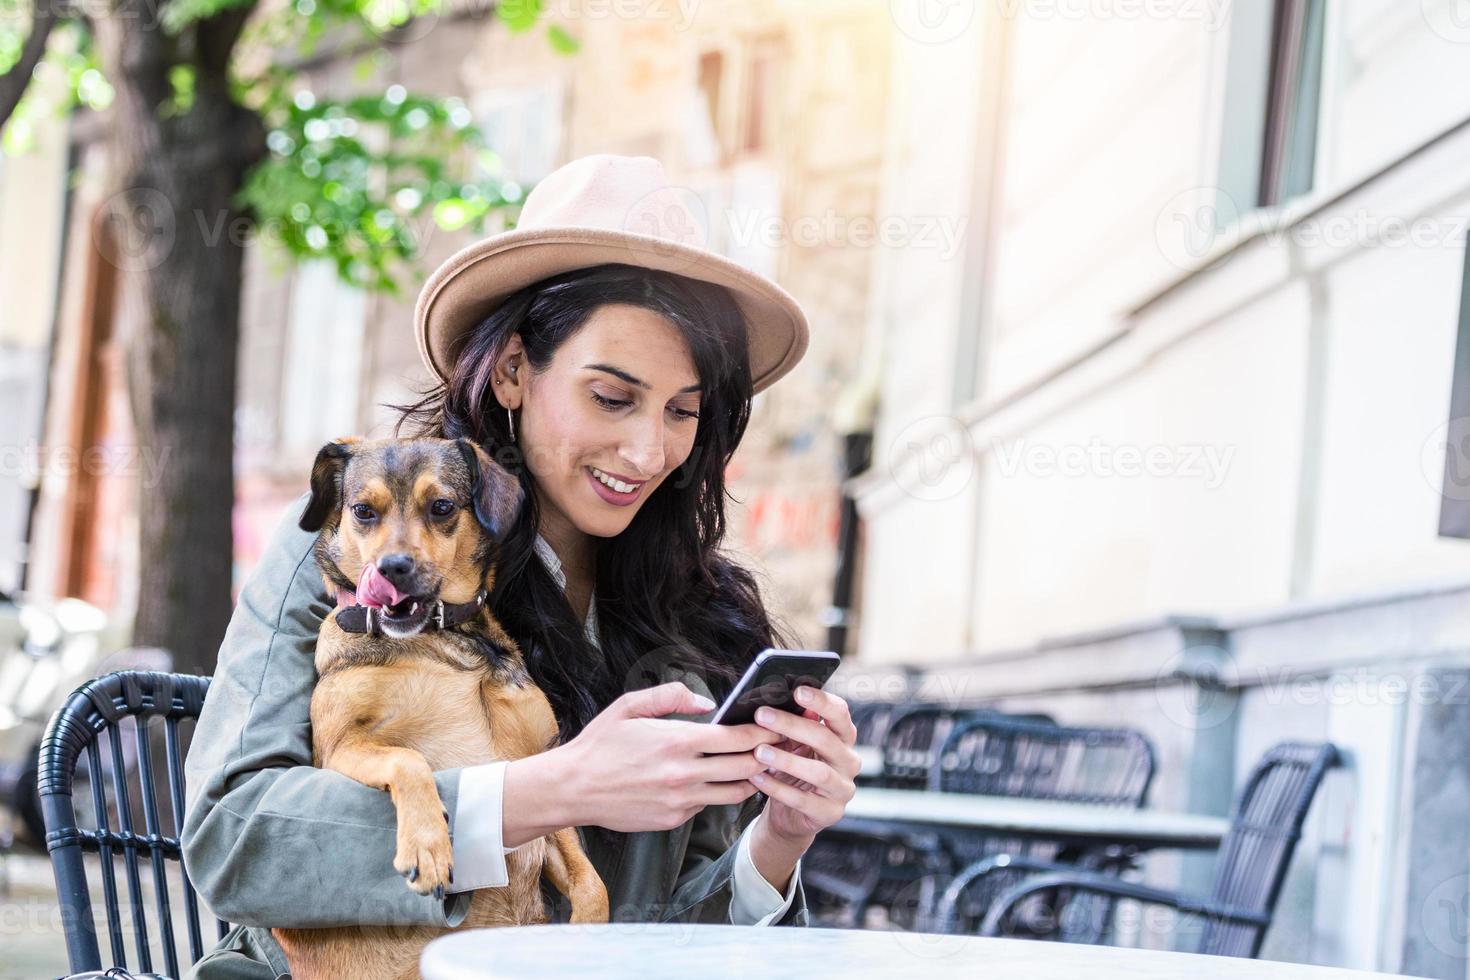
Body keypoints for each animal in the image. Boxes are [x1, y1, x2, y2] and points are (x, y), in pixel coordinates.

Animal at [274, 437, 608, 980]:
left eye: (443, 507)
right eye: (363, 511)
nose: (392, 567)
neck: (442, 638)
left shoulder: (540, 768)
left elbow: (592, 884)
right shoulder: (340, 750)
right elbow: (408, 759)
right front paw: (427, 844)